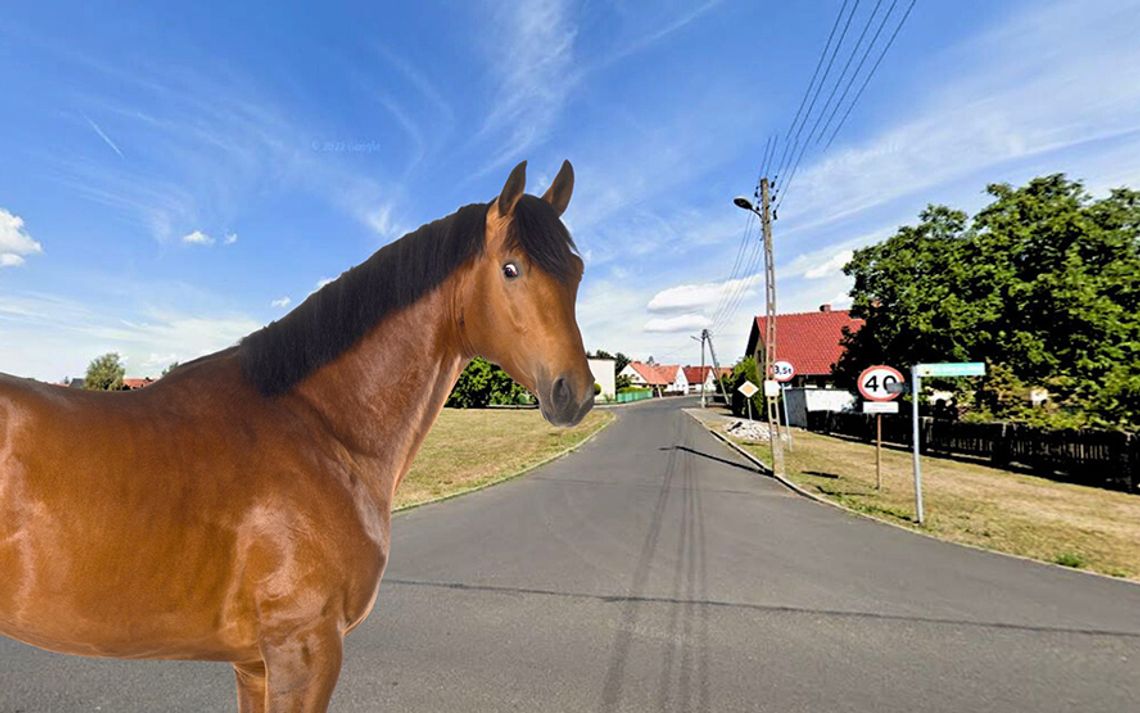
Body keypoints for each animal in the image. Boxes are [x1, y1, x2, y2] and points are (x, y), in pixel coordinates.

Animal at [2, 160, 597, 711]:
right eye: (511, 269)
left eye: (577, 270)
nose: (576, 392)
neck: (322, 429)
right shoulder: (304, 651)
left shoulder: (253, 663)